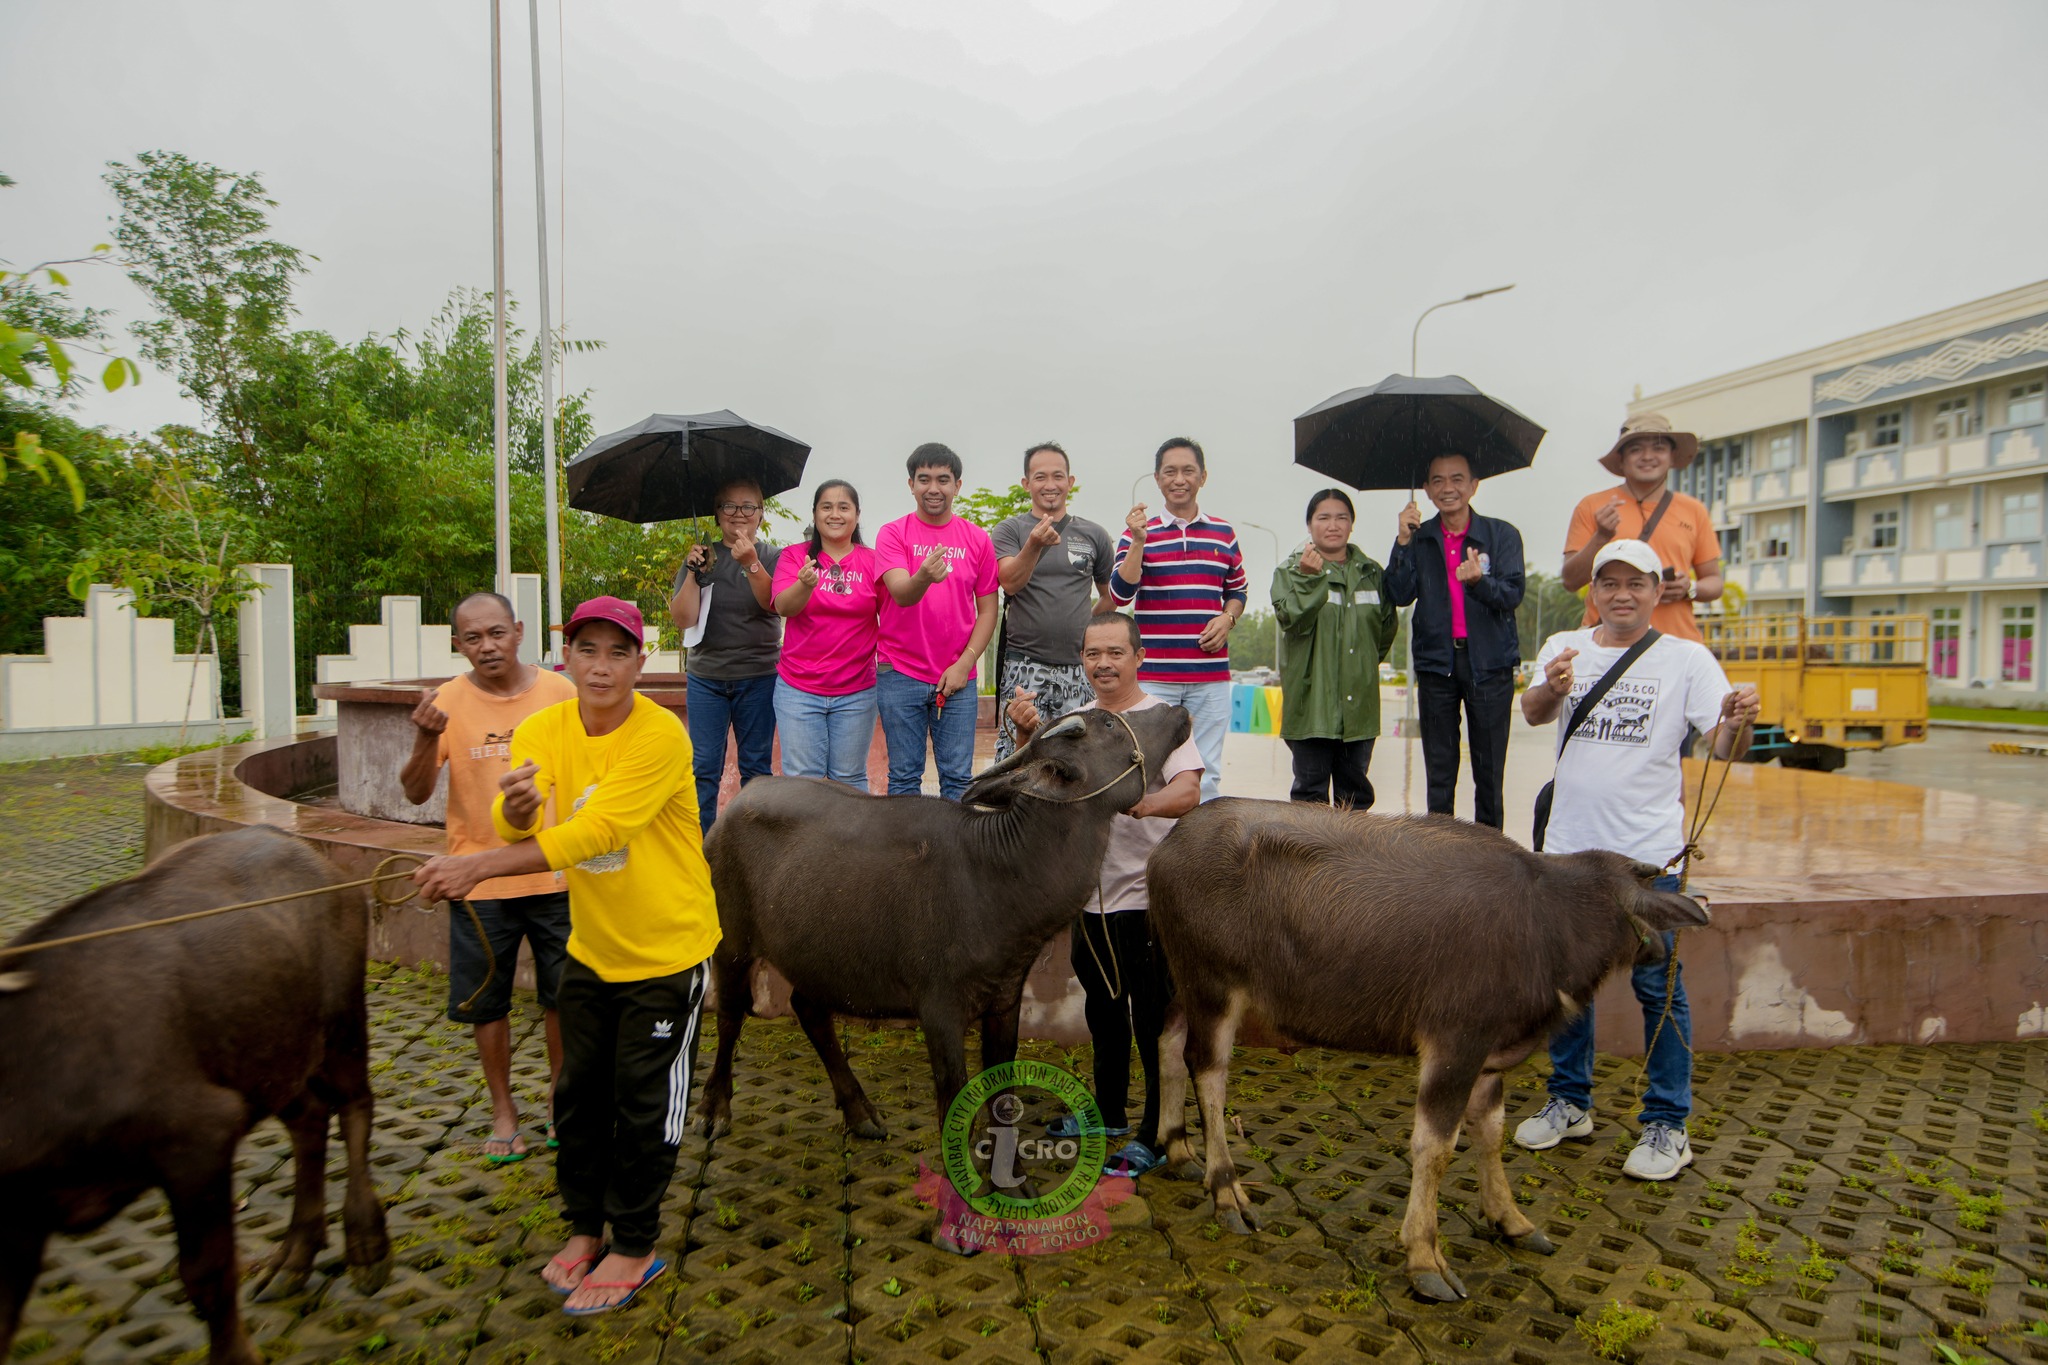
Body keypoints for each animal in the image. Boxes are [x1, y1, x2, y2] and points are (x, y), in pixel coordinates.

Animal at [0, 822, 389, 1365]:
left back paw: (367, 1248)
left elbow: (207, 1273)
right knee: (310, 1120)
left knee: (355, 1107)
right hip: (270, 1054)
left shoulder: (198, 1139)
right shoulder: (18, 1218)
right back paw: (291, 1261)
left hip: (342, 1023)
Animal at [700, 699, 1196, 1137]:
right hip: (731, 943)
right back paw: (716, 1109)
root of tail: (742, 796)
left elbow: (1002, 1094)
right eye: (1108, 724)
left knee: (809, 1010)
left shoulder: (1005, 1002)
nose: (1173, 709)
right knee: (729, 1013)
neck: (997, 872)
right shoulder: (938, 1010)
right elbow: (953, 1098)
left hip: (816, 953)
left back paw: (860, 1113)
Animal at [1146, 802, 1703, 1301]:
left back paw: (1178, 1148)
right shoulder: (1455, 1043)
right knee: (1208, 1072)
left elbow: (1491, 1133)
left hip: (1184, 983)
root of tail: (1166, 848)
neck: (1547, 919)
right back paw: (1226, 1192)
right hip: (1213, 988)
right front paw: (1425, 1258)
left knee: (1166, 1039)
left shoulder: (1489, 1055)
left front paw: (1512, 1220)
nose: (1660, 952)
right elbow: (1435, 1147)